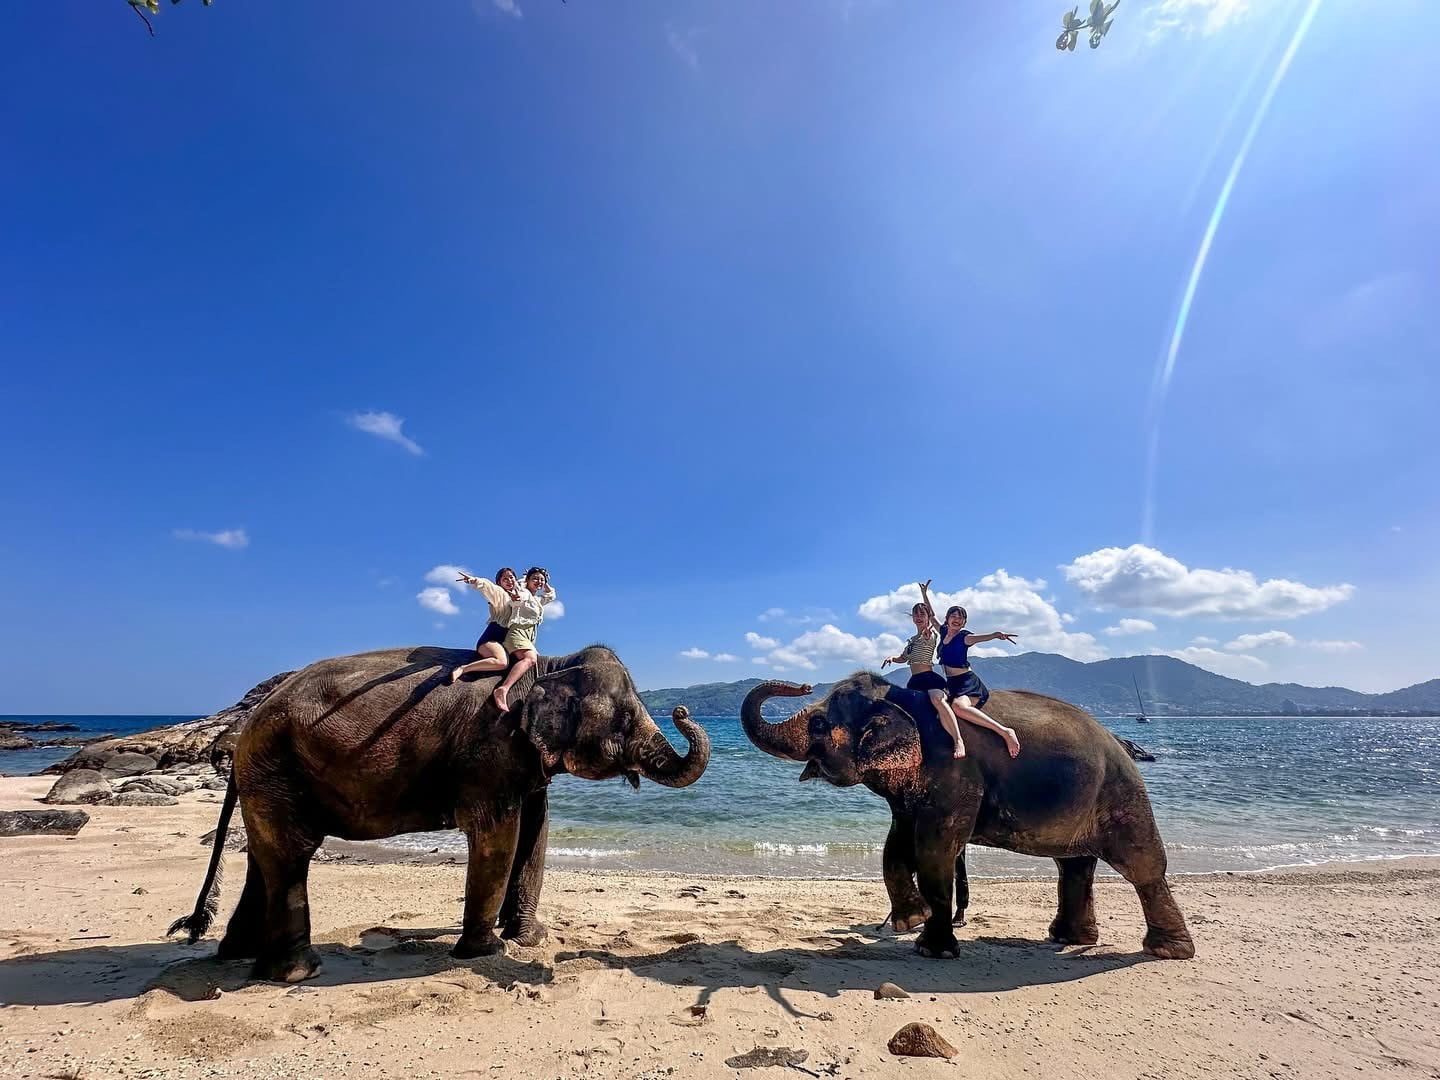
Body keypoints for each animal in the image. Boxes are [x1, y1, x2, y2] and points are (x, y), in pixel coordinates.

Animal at [169, 645, 708, 982]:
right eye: (626, 718)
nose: (683, 709)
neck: (551, 664)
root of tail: (242, 731)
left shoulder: (525, 760)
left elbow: (535, 831)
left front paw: (529, 938)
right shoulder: (489, 753)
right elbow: (499, 835)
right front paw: (486, 951)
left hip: (268, 779)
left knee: (264, 860)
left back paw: (239, 958)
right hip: (278, 771)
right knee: (291, 854)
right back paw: (299, 972)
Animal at [741, 674, 1193, 961]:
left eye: (819, 722)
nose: (800, 684)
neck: (904, 697)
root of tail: (1119, 740)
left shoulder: (956, 771)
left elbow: (935, 850)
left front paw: (931, 948)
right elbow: (896, 845)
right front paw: (911, 921)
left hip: (1123, 794)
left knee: (1142, 866)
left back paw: (1167, 950)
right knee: (1075, 864)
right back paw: (1068, 937)